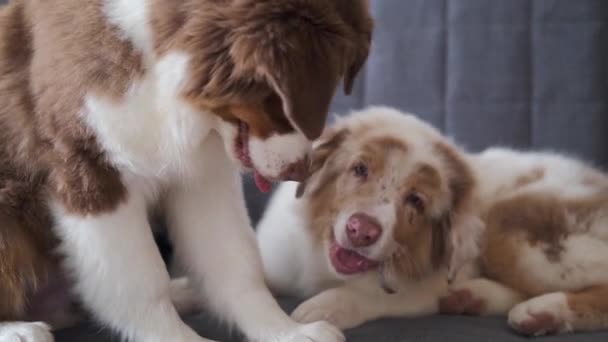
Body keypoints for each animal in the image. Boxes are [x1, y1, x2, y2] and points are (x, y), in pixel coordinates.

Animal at [0, 0, 370, 342]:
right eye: (278, 101)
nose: (301, 170)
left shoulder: (202, 178)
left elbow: (236, 258)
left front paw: (286, 331)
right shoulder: (91, 168)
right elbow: (137, 275)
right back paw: (19, 329)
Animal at [254, 107, 478, 332]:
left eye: (416, 200)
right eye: (360, 169)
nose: (361, 231)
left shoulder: (428, 287)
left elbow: (379, 294)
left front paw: (319, 311)